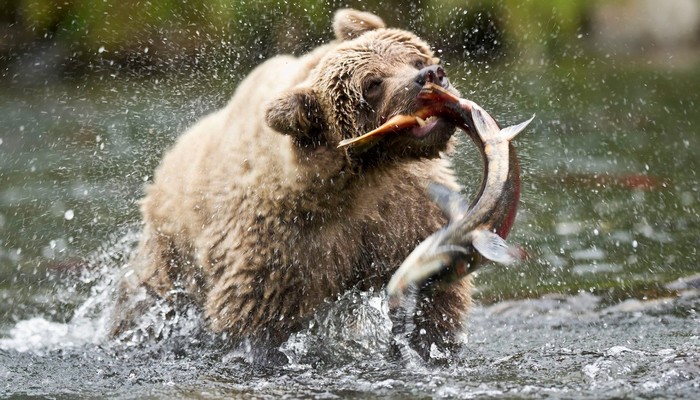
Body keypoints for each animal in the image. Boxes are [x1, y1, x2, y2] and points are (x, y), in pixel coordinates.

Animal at [113, 9, 470, 360]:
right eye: (372, 83)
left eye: (415, 57)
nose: (431, 74)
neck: (360, 178)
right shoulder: (281, 245)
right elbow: (252, 317)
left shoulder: (408, 209)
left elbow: (437, 293)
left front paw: (432, 341)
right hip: (170, 253)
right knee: (143, 301)